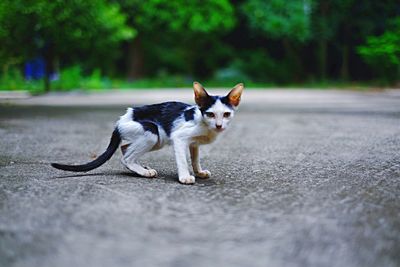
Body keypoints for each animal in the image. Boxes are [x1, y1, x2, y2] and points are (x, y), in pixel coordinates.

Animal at [52, 82, 244, 185]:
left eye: (226, 114)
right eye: (210, 114)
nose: (219, 125)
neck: (205, 126)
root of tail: (121, 120)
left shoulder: (194, 143)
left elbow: (195, 158)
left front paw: (199, 172)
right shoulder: (179, 137)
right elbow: (183, 160)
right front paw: (185, 177)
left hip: (157, 139)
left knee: (125, 147)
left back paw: (140, 168)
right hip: (153, 132)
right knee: (126, 156)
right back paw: (143, 172)